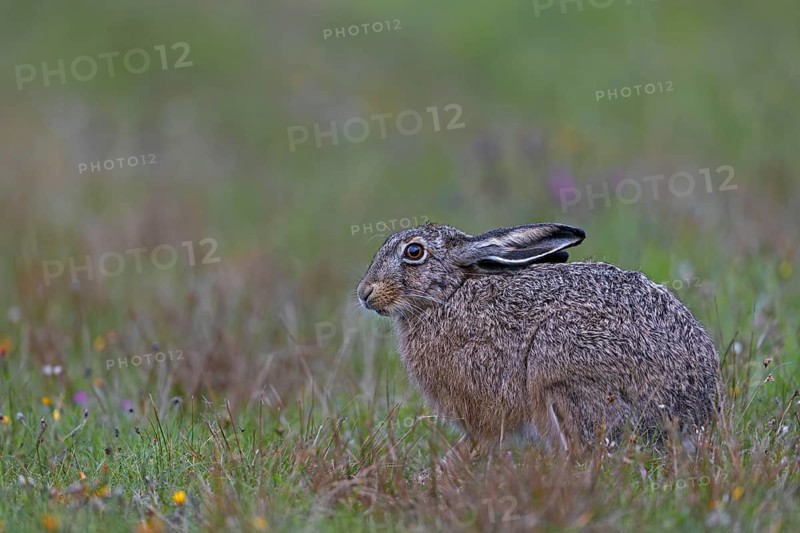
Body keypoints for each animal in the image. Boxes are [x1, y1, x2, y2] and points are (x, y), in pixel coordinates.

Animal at [356, 222, 720, 457]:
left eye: (413, 252)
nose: (364, 293)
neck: (450, 294)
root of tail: (695, 417)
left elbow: (482, 438)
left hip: (559, 370)